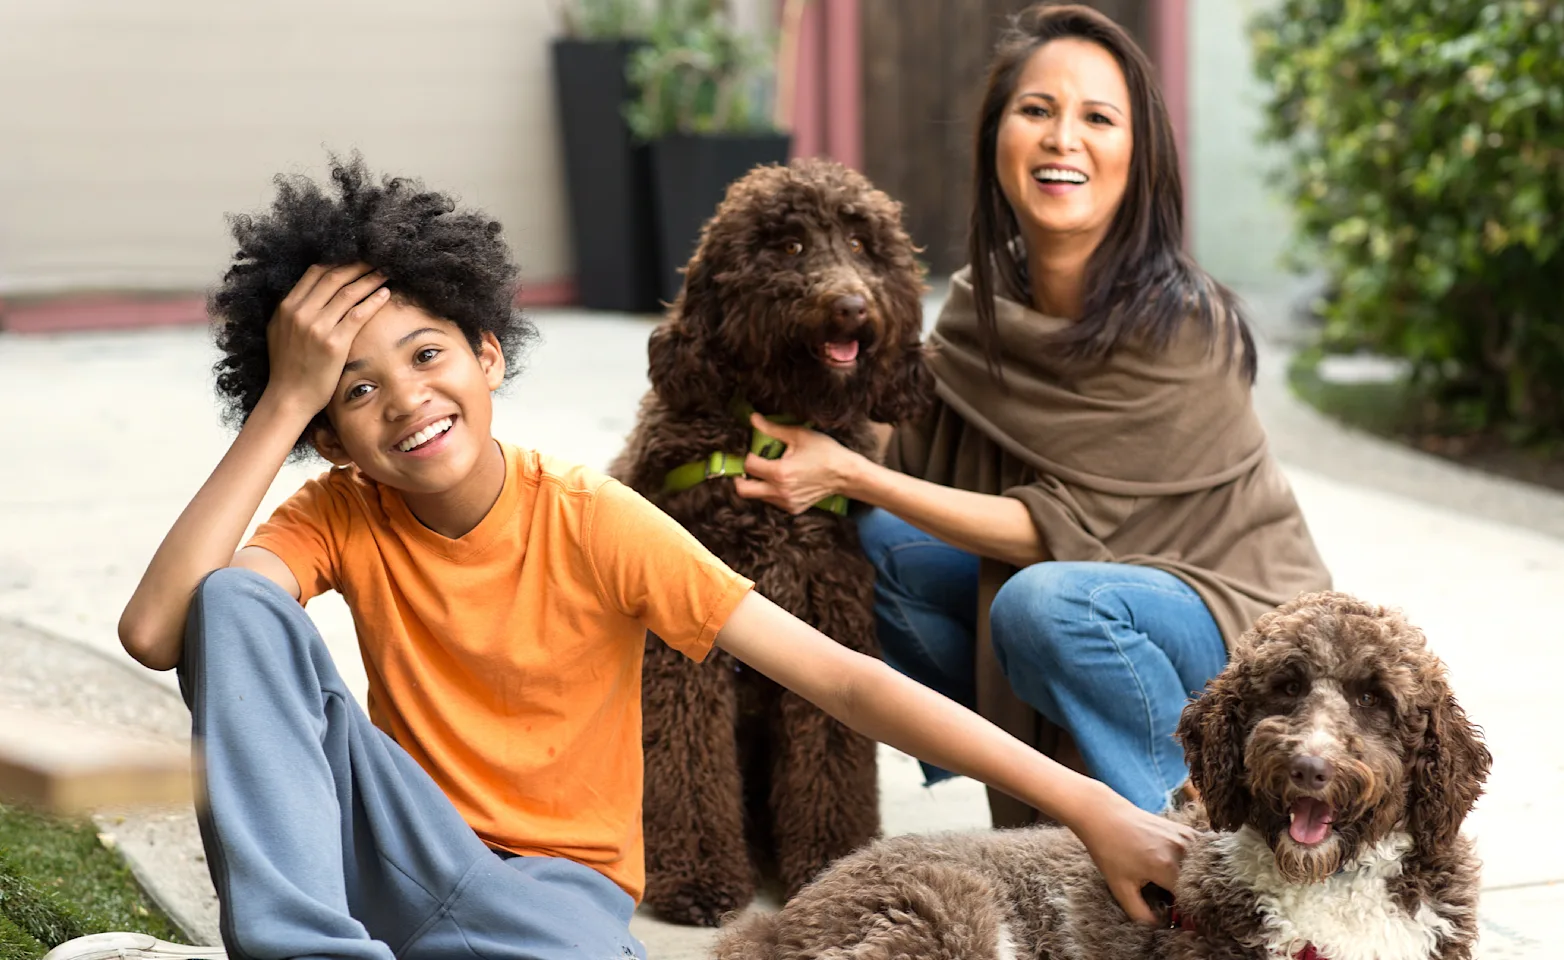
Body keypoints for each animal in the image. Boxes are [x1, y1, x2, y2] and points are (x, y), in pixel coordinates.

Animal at [606, 160, 925, 931]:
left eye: (862, 245)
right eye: (788, 248)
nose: (852, 307)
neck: (774, 429)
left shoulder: (832, 622)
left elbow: (830, 756)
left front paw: (827, 864)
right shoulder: (681, 654)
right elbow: (689, 764)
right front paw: (698, 880)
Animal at [716, 594, 1495, 960]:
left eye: (1374, 699)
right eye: (1287, 685)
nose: (1309, 767)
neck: (1329, 886)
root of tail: (780, 921)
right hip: (948, 917)